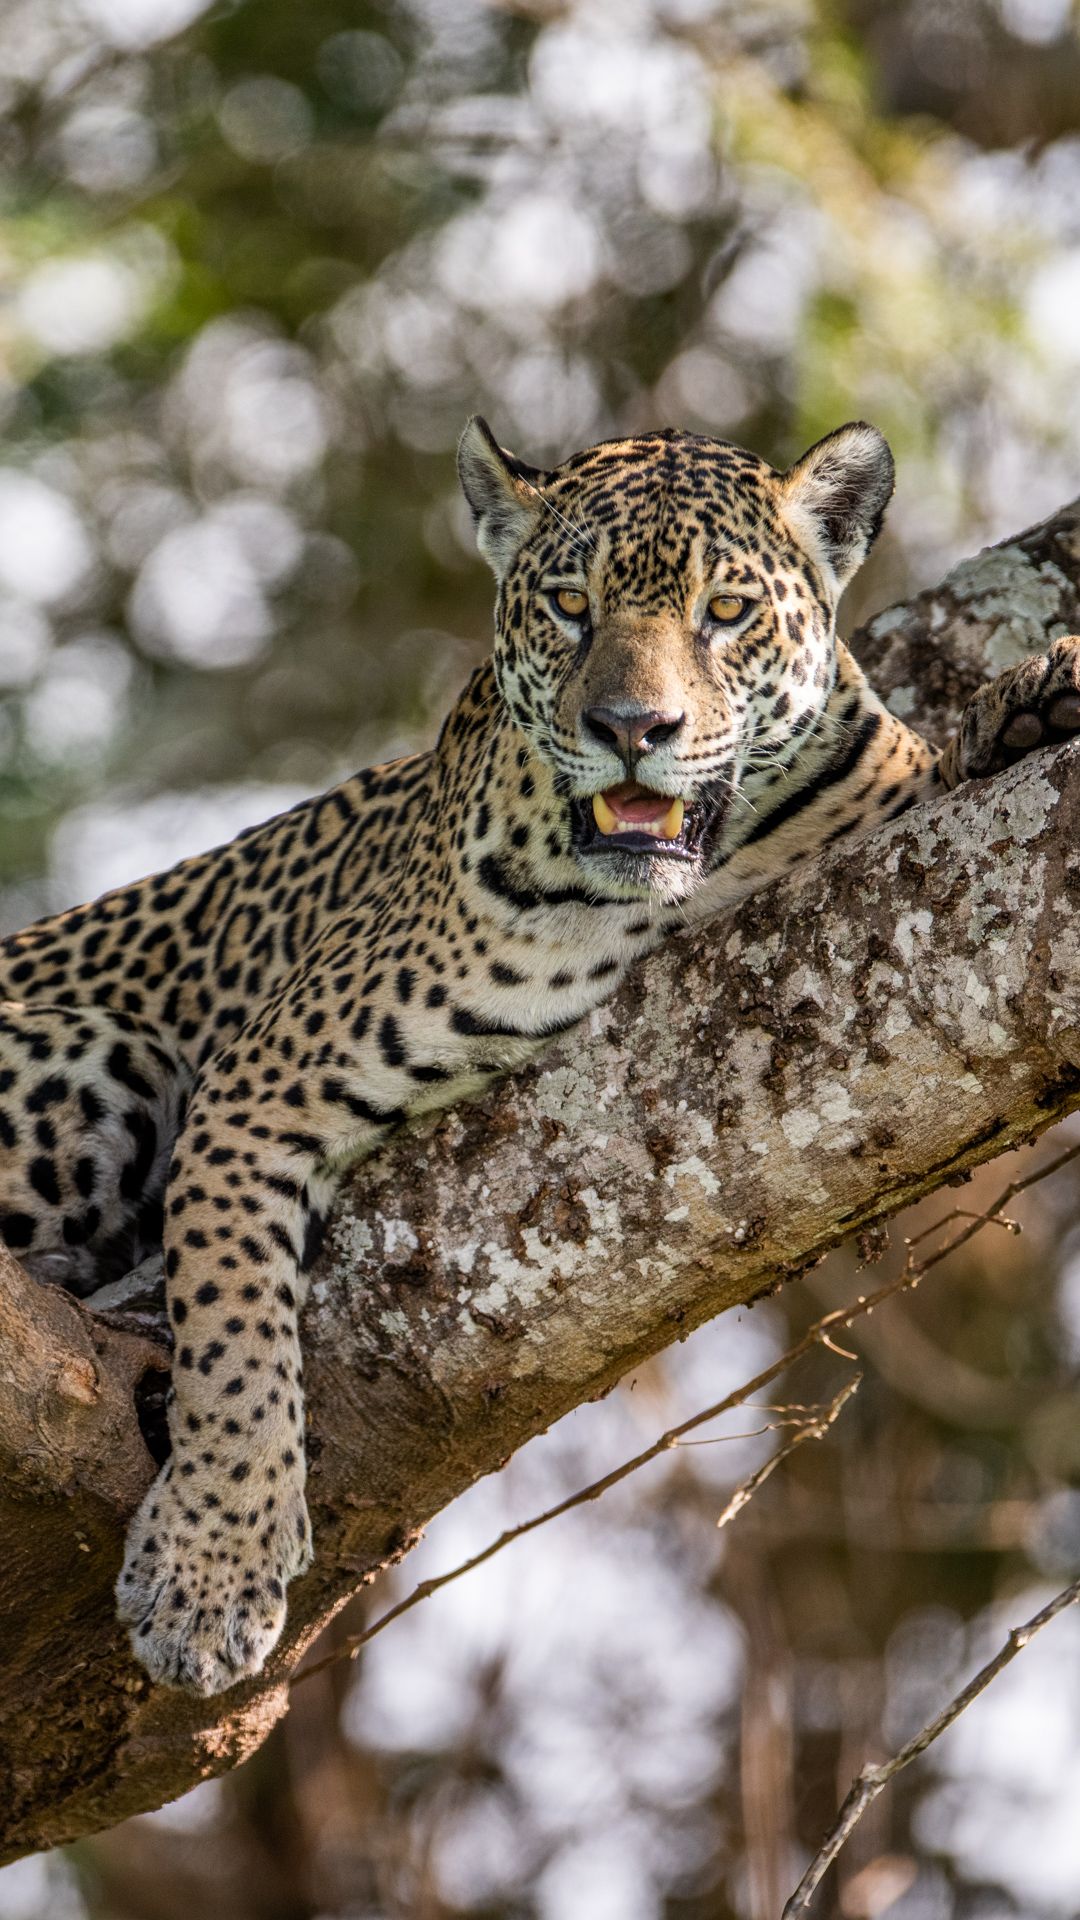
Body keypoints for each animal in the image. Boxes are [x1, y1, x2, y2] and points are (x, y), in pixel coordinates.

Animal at [2, 416, 1079, 1696]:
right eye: (570, 605)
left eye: (725, 613)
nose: (633, 731)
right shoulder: (259, 1086)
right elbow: (236, 1334)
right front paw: (212, 1571)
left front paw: (1034, 707)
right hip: (104, 1056)